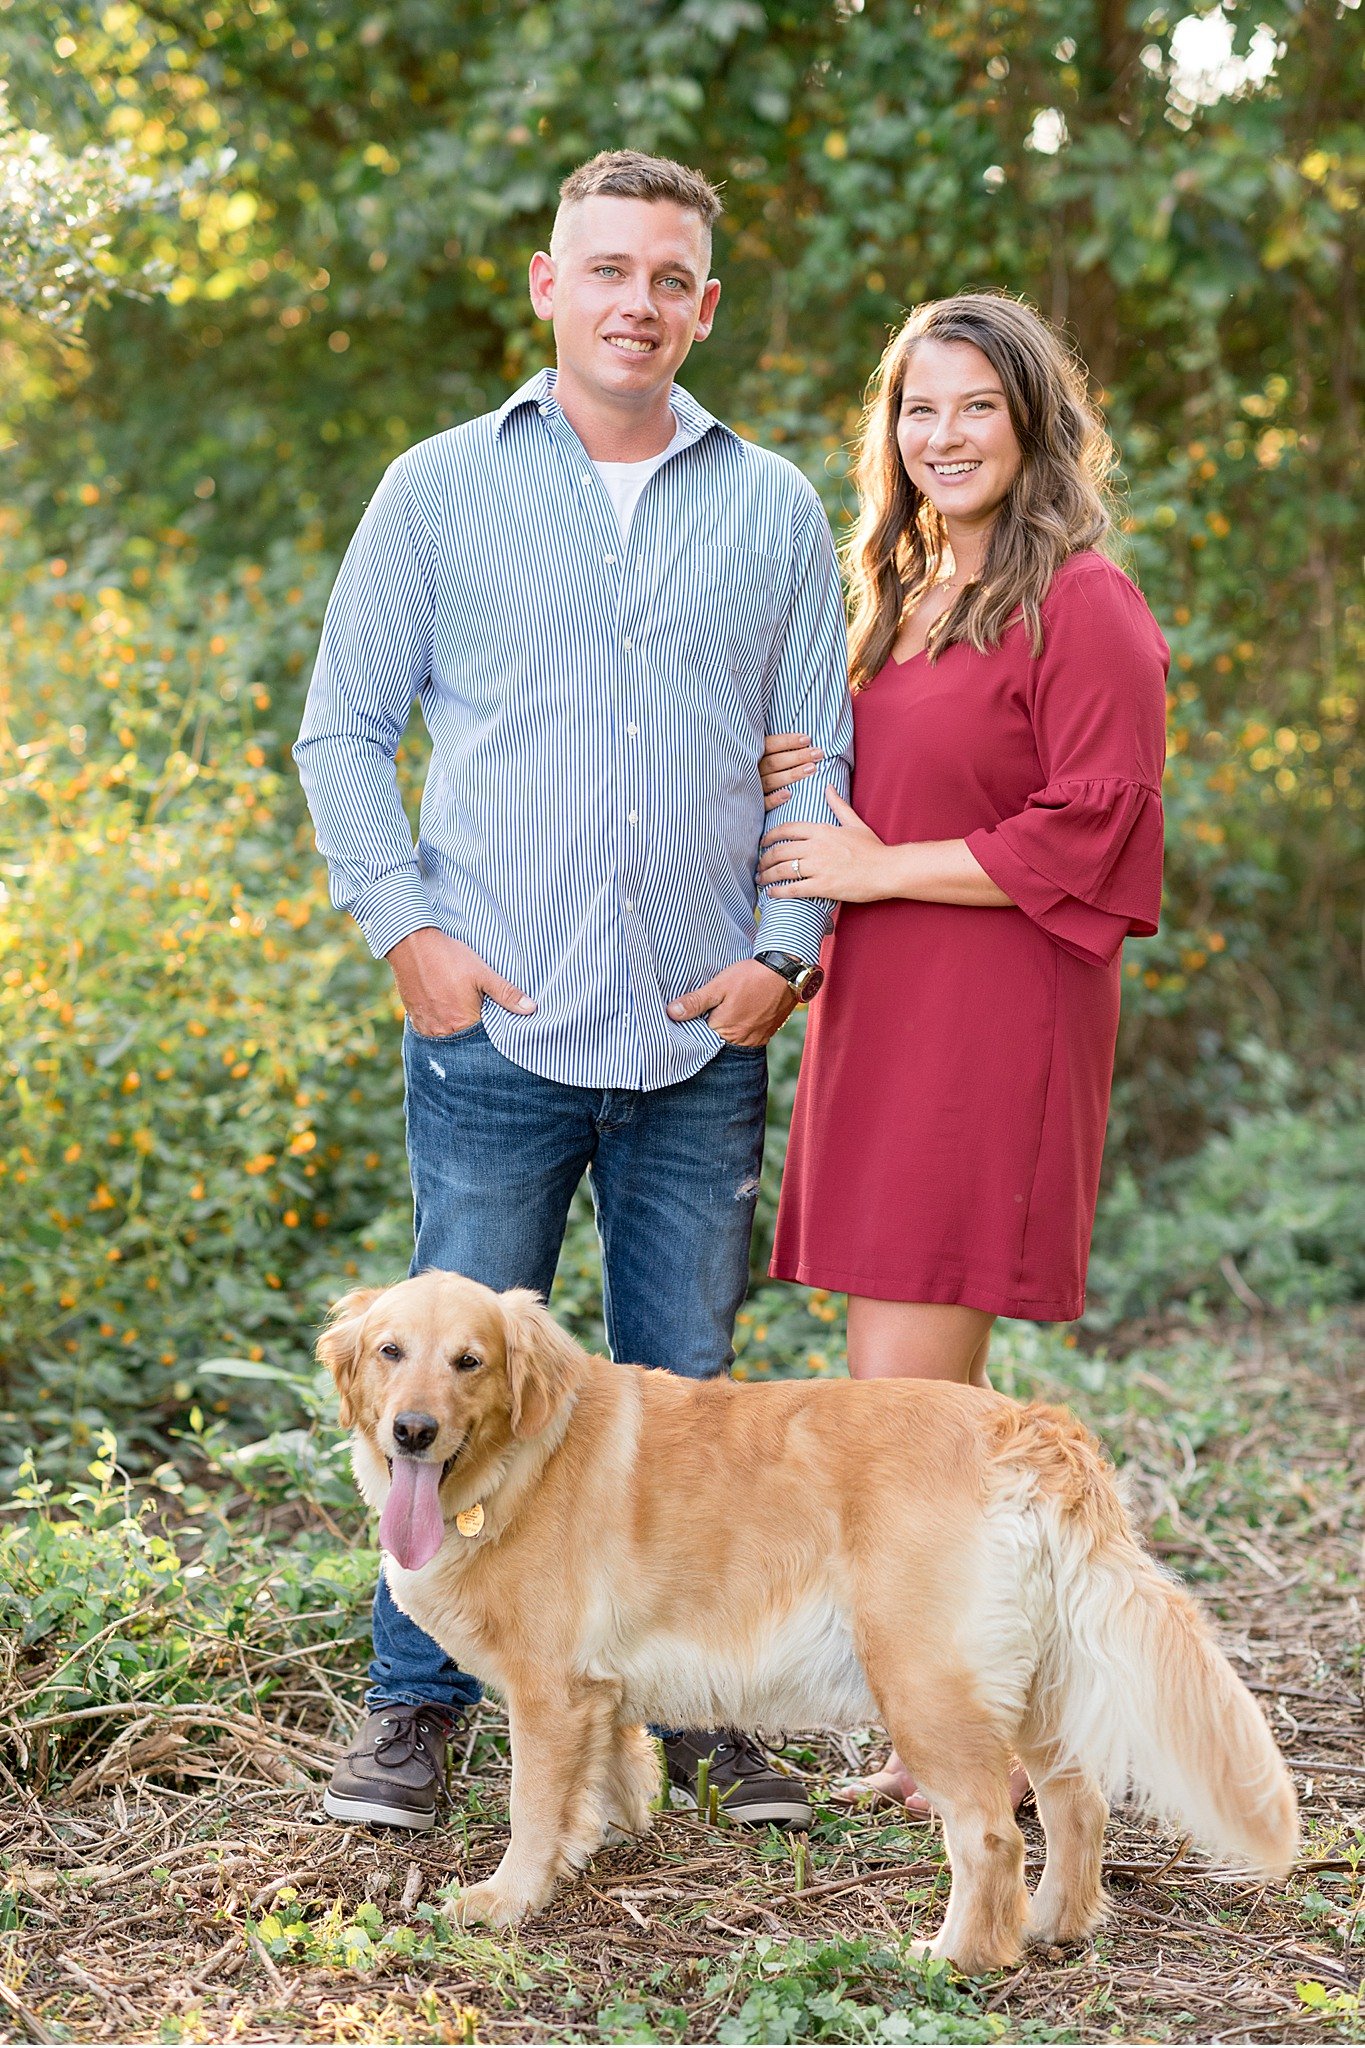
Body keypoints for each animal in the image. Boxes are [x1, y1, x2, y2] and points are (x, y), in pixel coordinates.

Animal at [317, 1269, 1293, 1974]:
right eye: (390, 1351)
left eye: (469, 1361)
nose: (411, 1431)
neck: (521, 1458)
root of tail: (1032, 1429)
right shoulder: (599, 1689)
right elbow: (609, 1776)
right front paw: (595, 1842)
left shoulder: (549, 1691)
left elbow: (531, 1805)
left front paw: (509, 1897)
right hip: (1035, 1687)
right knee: (1076, 1803)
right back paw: (1053, 1925)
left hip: (925, 1686)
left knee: (990, 1836)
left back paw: (956, 1957)